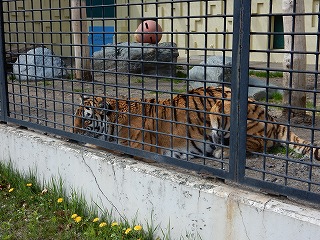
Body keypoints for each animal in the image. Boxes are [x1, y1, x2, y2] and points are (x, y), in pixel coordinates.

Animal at [73, 86, 320, 161]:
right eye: (74, 116)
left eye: (85, 119)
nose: (72, 131)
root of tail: (271, 116)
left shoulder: (139, 147)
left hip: (222, 112)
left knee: (257, 146)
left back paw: (222, 152)